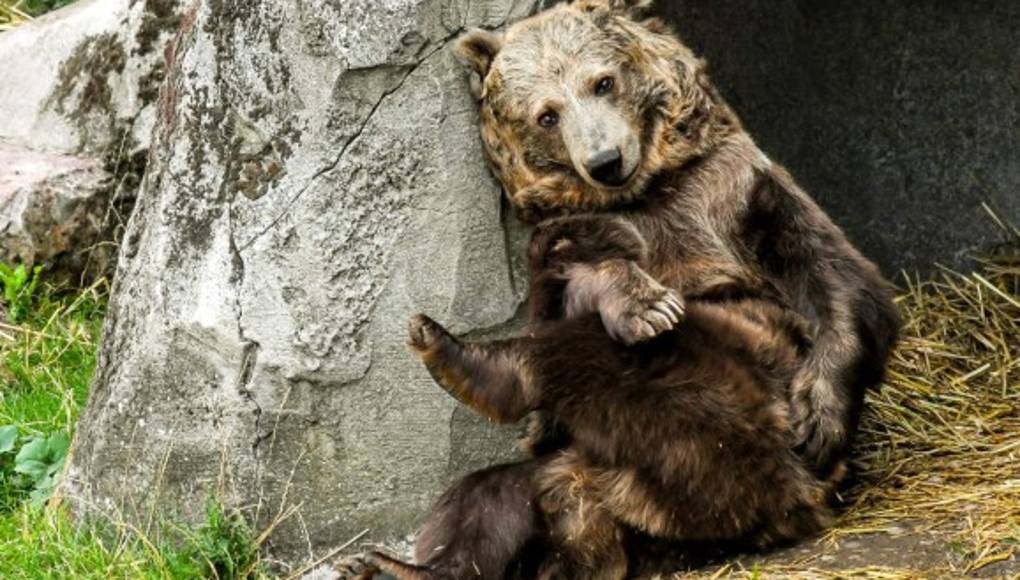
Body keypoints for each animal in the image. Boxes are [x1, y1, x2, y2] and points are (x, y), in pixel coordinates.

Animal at [455, 0, 900, 477]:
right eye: (546, 115)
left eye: (603, 81)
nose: (605, 161)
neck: (648, 191)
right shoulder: (572, 231)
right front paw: (649, 307)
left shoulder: (734, 191)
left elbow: (833, 272)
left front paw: (817, 418)